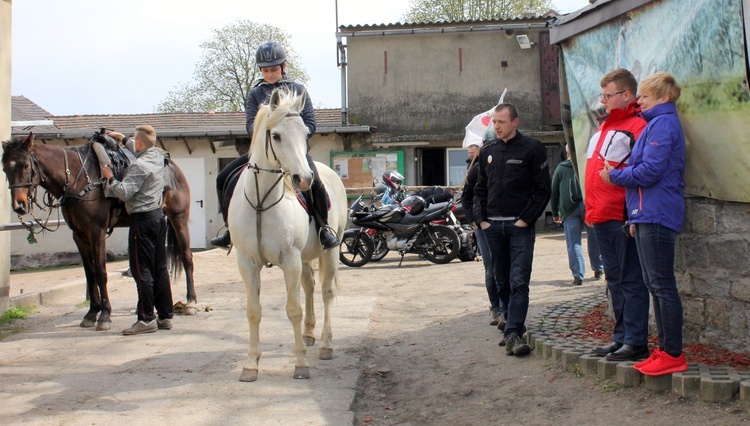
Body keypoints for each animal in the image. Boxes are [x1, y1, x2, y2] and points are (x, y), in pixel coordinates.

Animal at [0, 131, 200, 332]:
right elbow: (89, 274)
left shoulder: (97, 231)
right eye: (6, 169)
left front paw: (104, 315)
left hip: (178, 218)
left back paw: (191, 302)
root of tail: (172, 166)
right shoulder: (79, 235)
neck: (78, 179)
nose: (19, 205)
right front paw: (91, 313)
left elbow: (100, 273)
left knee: (186, 258)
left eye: (26, 165)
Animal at [229, 90, 350, 382]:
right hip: (305, 257)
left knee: (326, 292)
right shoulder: (247, 262)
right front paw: (251, 364)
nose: (303, 179)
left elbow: (293, 309)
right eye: (276, 135)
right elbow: (253, 311)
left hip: (329, 250)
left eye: (305, 133)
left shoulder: (290, 260)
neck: (261, 202)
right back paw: (308, 334)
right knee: (309, 286)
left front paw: (301, 364)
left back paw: (326, 344)